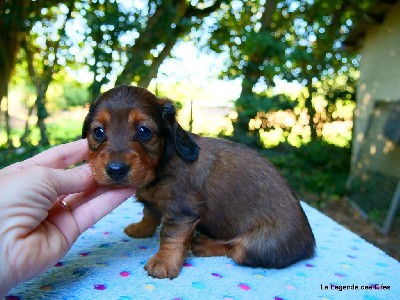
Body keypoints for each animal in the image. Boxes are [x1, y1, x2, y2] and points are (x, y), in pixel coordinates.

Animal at [83, 84, 316, 278]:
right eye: (98, 131)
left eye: (144, 131)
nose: (116, 170)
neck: (163, 163)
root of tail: (310, 246)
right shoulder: (155, 202)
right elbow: (149, 213)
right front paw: (141, 230)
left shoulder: (181, 210)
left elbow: (170, 236)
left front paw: (163, 262)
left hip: (259, 245)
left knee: (235, 249)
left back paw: (203, 244)